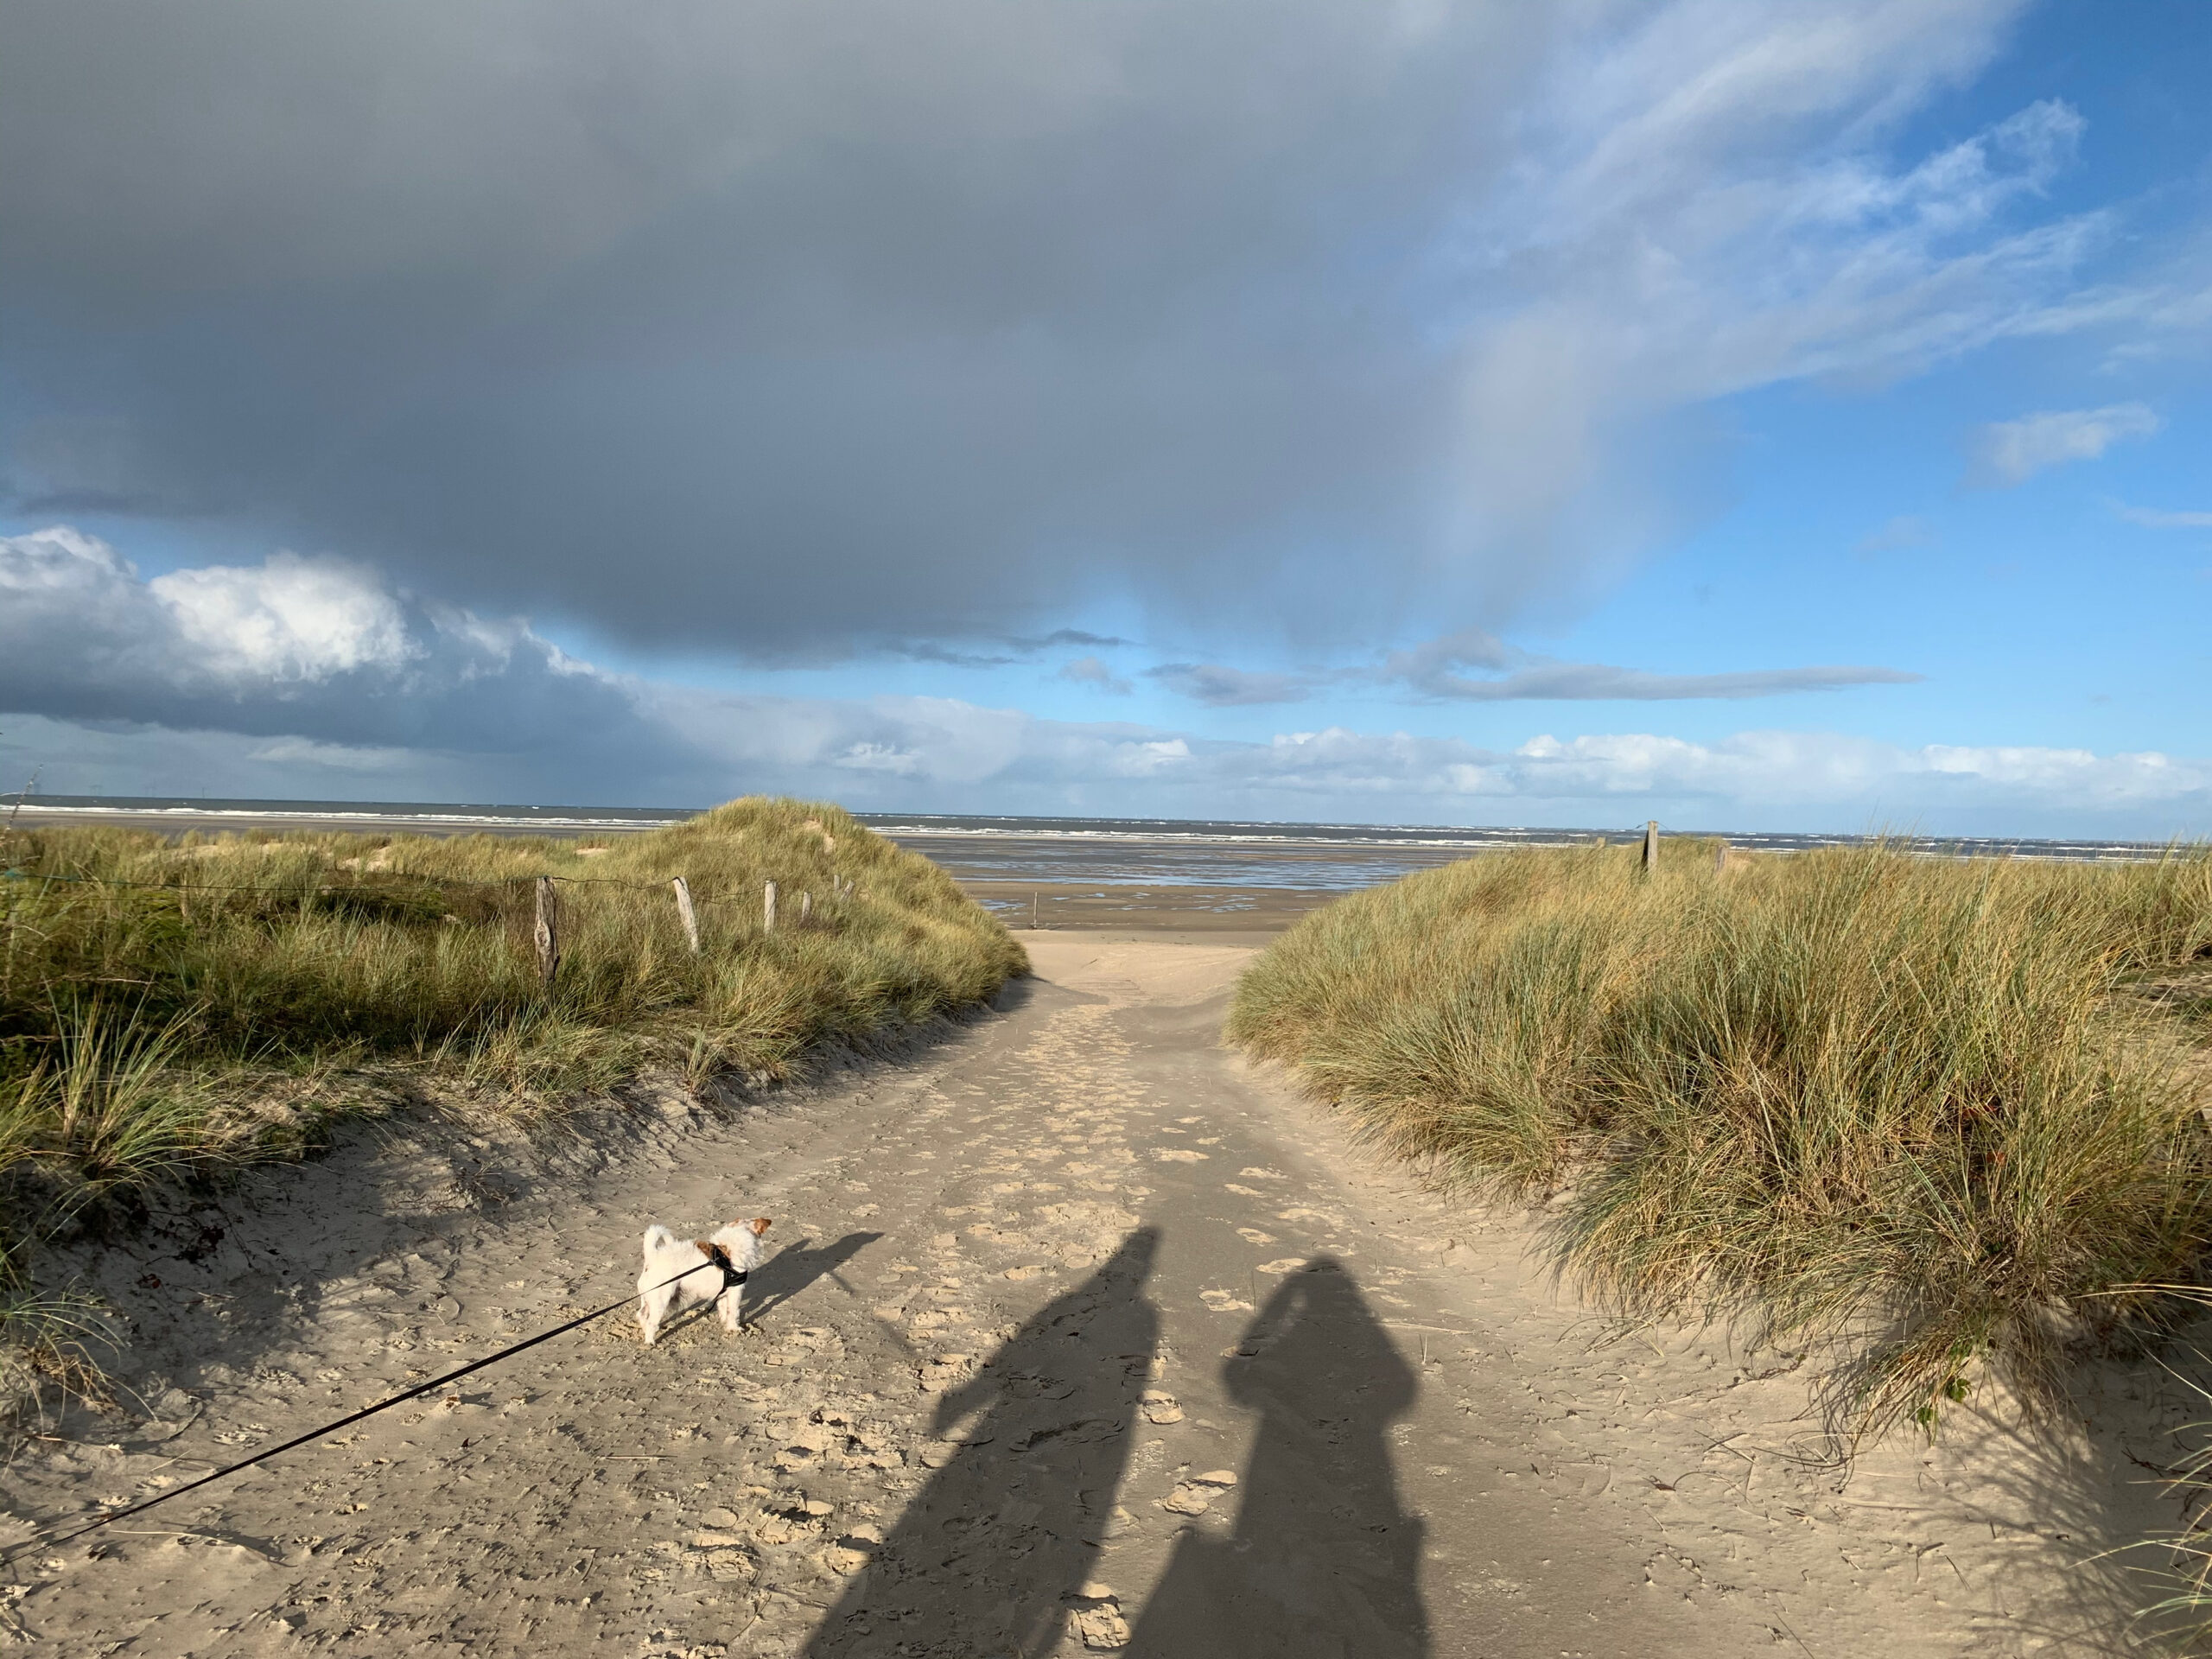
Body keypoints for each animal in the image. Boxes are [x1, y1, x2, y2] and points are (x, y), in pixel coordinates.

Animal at [637, 1221, 774, 1353]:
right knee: (650, 1322)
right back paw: (650, 1341)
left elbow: (724, 1310)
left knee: (642, 1315)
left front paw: (725, 1324)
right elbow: (733, 1312)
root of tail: (652, 1257)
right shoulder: (736, 1292)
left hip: (649, 1299)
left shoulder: (724, 1294)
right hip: (661, 1300)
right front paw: (735, 1328)